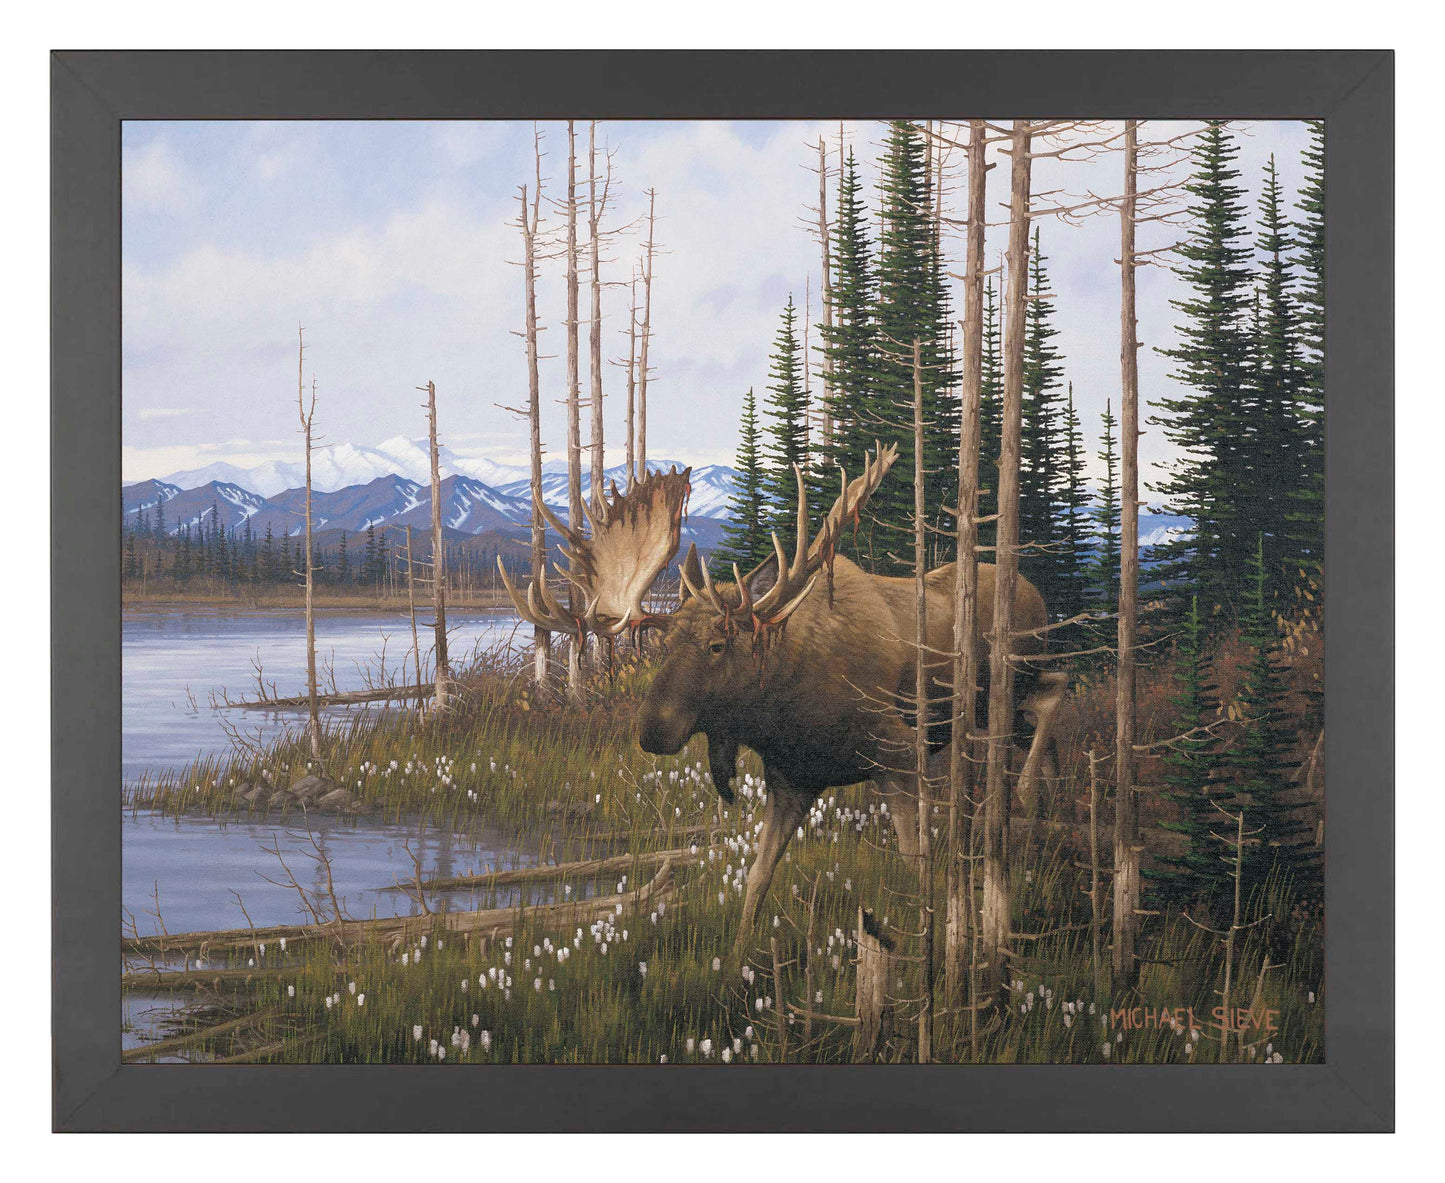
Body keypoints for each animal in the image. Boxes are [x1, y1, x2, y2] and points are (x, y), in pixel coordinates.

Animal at [499, 446, 1066, 960]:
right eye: (663, 645)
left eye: (717, 645)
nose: (651, 730)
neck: (786, 713)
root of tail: (1037, 590)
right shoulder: (791, 780)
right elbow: (757, 875)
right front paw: (737, 956)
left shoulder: (899, 752)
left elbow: (914, 862)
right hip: (994, 709)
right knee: (1047, 716)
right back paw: (1045, 811)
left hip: (1010, 681)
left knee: (1056, 692)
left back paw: (1028, 794)